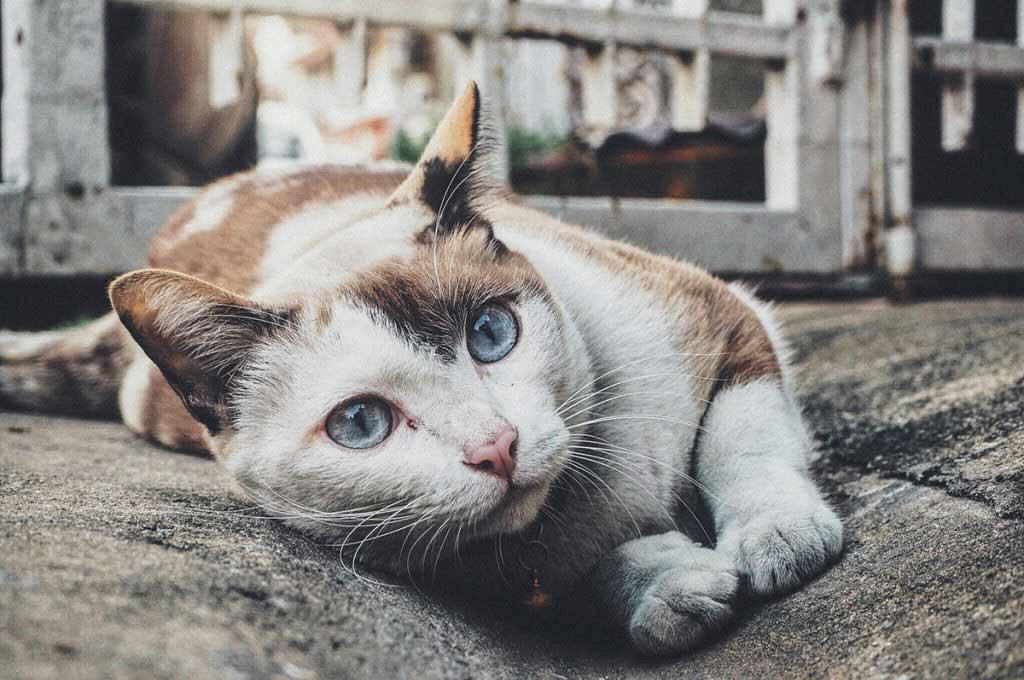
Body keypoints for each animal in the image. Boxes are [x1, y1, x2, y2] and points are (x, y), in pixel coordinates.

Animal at [0, 82, 839, 655]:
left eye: (491, 333)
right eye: (360, 423)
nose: (496, 448)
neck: (585, 497)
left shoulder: (718, 310)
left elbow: (743, 437)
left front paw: (779, 534)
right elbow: (577, 579)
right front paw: (665, 586)